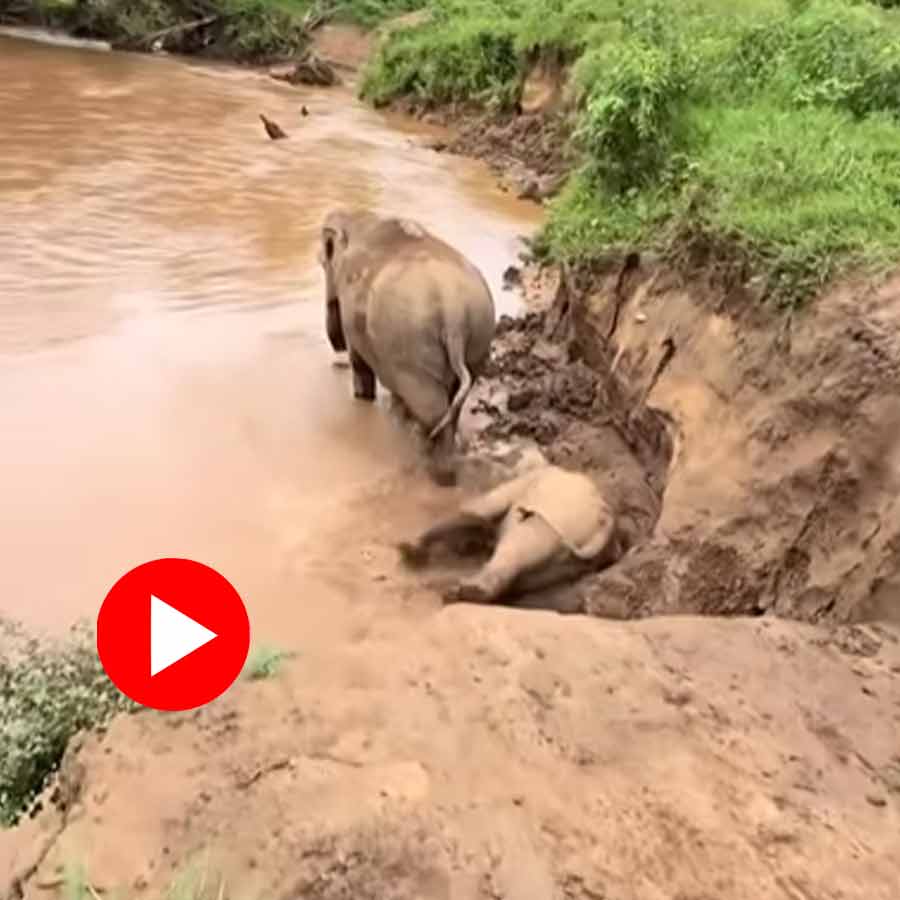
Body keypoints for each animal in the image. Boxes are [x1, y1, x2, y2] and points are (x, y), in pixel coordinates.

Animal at [318, 208, 496, 486]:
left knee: (432, 408)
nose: (336, 355)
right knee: (452, 403)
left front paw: (363, 398)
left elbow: (360, 364)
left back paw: (438, 471)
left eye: (322, 262)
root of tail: (453, 309)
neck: (358, 217)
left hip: (413, 347)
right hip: (479, 335)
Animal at [397, 463, 619, 605]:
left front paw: (410, 550)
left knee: (519, 545)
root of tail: (606, 519)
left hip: (562, 513)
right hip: (579, 552)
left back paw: (467, 590)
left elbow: (474, 513)